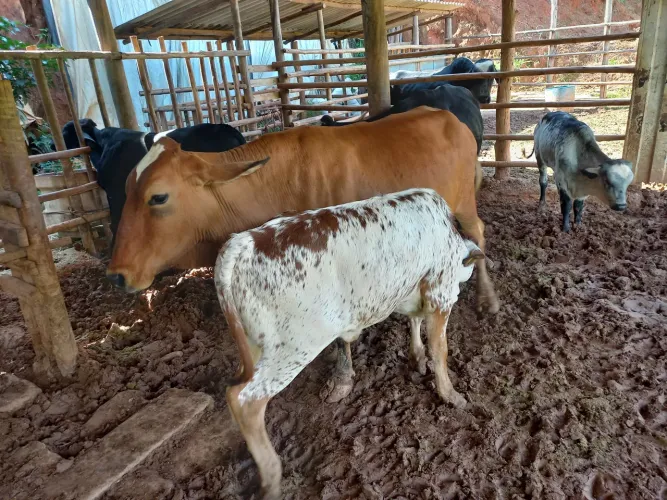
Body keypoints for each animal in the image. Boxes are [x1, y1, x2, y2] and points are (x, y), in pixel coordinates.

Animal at [106, 106, 500, 400]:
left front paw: (341, 378)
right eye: (125, 187)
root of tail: (450, 117)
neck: (274, 183)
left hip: (463, 202)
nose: (116, 274)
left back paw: (487, 297)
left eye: (158, 196)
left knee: (479, 231)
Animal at [216, 188, 484, 499]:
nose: (461, 286)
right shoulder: (440, 291)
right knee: (244, 399)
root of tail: (241, 243)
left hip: (255, 346)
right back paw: (271, 475)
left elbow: (414, 321)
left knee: (236, 385)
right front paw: (451, 394)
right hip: (295, 346)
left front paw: (416, 357)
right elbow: (440, 350)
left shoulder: (409, 289)